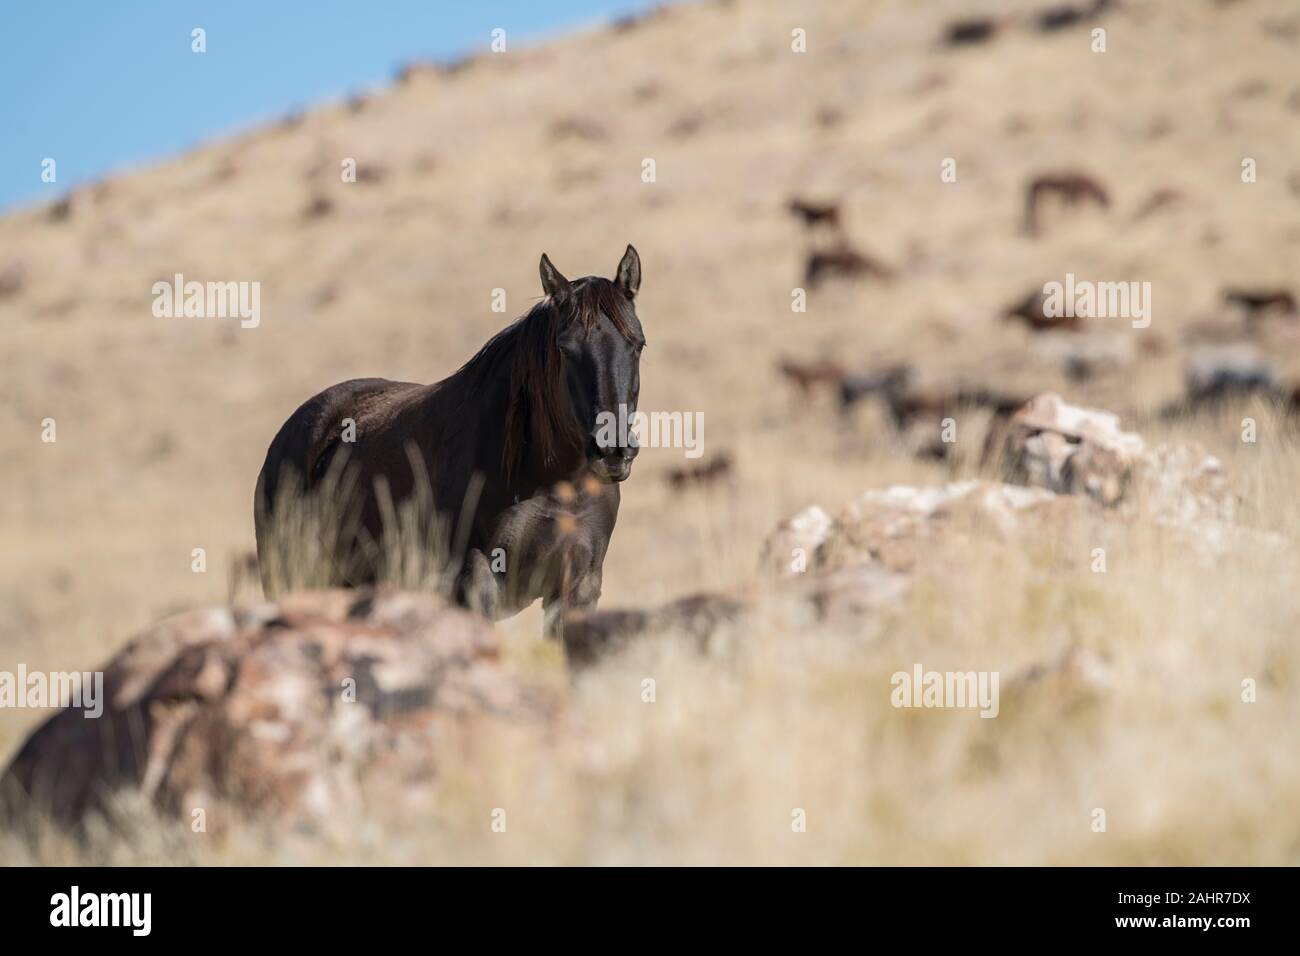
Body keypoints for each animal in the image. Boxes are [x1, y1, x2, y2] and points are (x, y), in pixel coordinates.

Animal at [253, 244, 644, 634]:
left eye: (637, 344)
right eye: (564, 349)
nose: (612, 448)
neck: (554, 482)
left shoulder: (577, 588)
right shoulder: (476, 582)